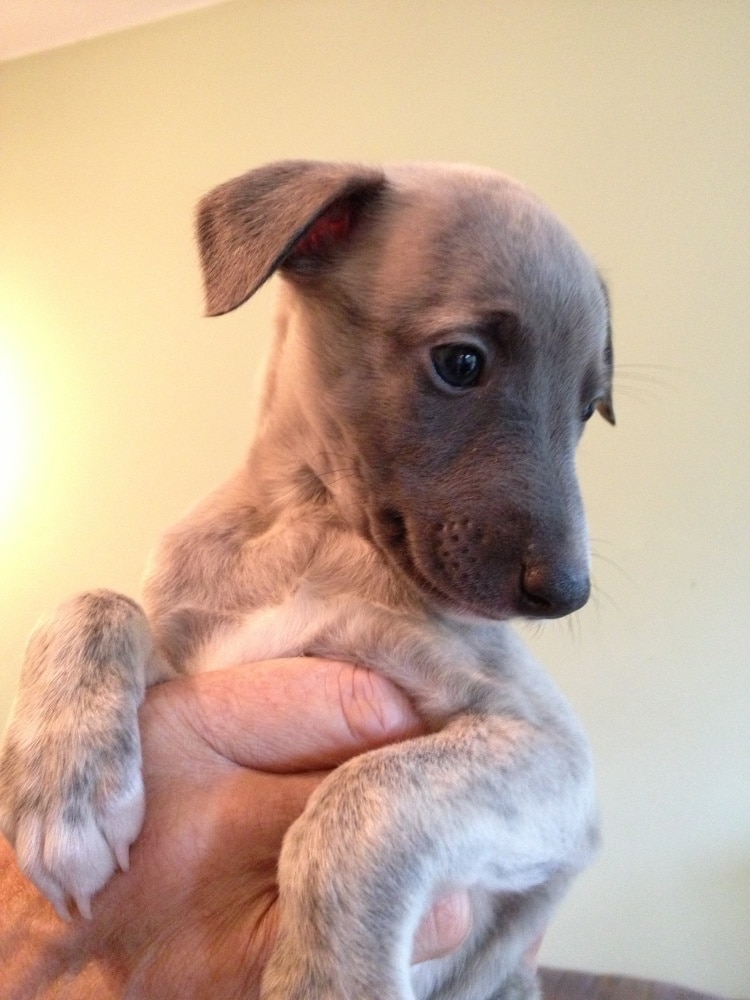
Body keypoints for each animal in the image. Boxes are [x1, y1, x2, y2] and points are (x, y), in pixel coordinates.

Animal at [0, 162, 612, 1000]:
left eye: (588, 409)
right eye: (461, 363)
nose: (567, 593)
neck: (311, 530)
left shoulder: (552, 753)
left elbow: (367, 796)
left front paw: (329, 980)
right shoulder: (193, 657)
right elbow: (96, 602)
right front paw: (64, 785)